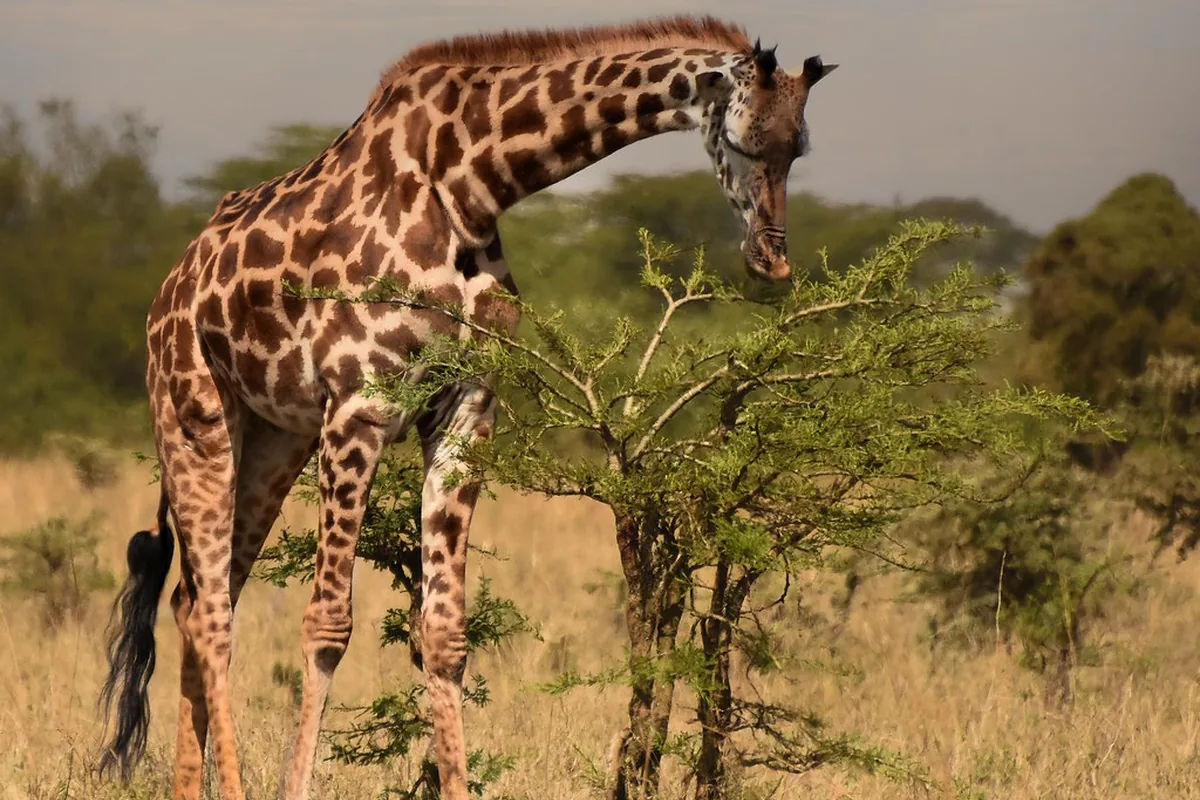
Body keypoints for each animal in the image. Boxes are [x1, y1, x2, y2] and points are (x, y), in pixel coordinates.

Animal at [96, 14, 836, 800]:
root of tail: (168, 291)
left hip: (272, 441)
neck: (469, 184)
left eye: (799, 147)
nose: (772, 262)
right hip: (194, 416)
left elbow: (445, 632)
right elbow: (328, 624)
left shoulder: (467, 409)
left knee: (197, 598)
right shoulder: (359, 405)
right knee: (210, 611)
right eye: (743, 140)